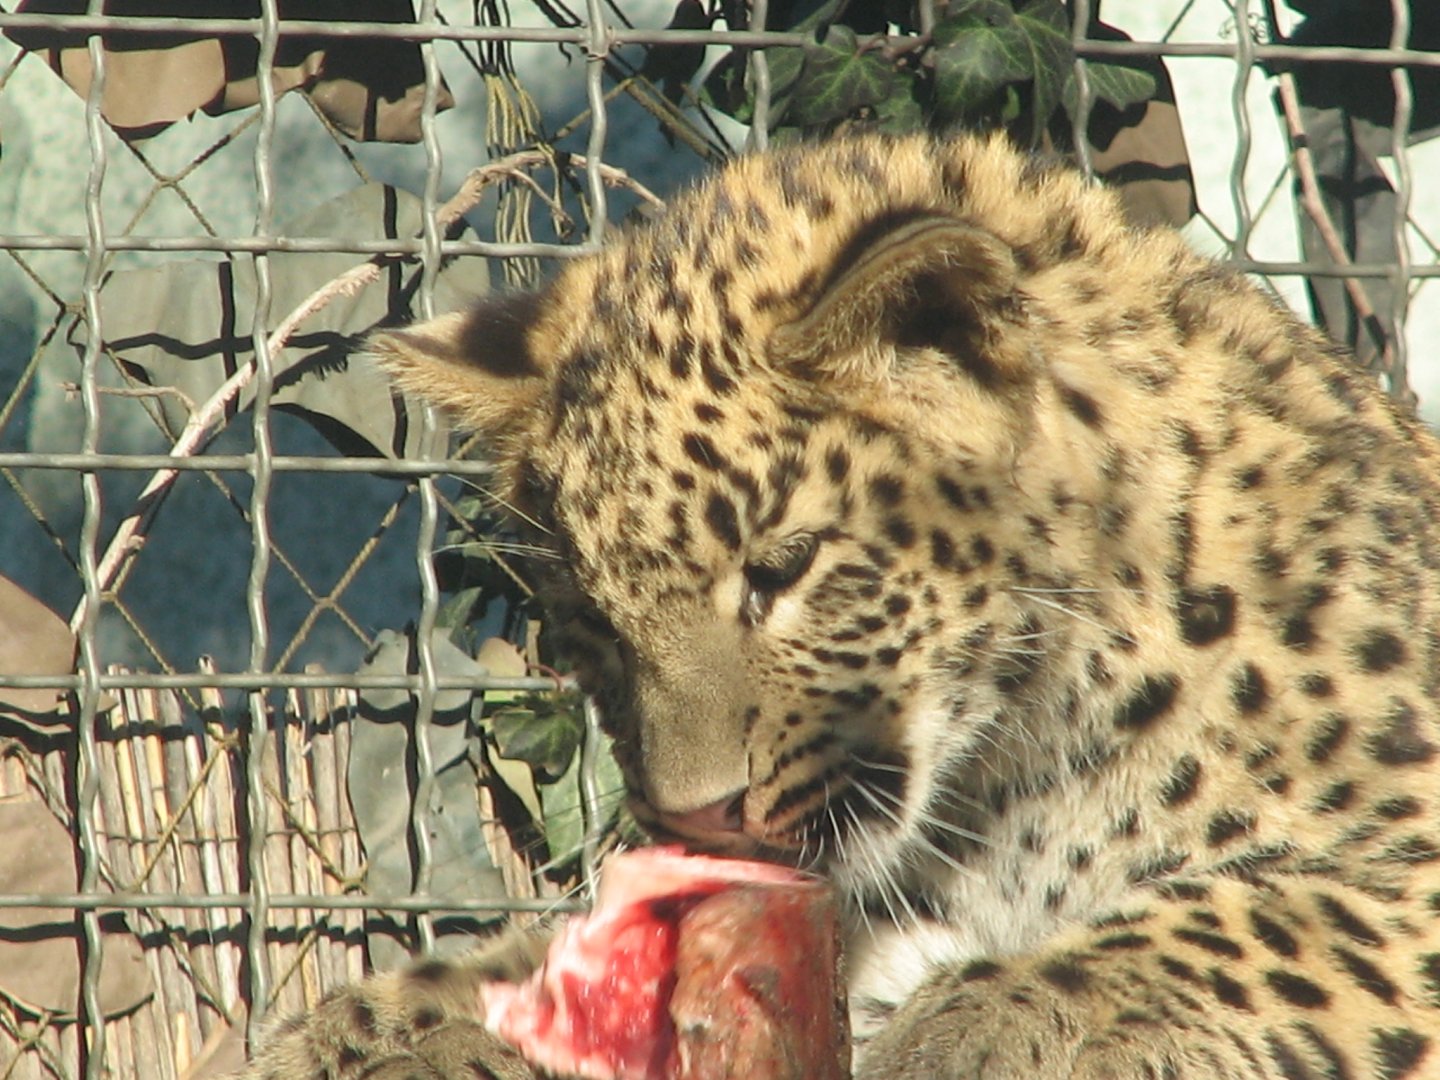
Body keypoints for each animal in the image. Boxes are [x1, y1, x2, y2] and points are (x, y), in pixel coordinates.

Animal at [239, 132, 1440, 1079]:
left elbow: (1249, 918)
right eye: (593, 624)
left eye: (784, 568)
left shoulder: (1403, 857)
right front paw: (382, 1028)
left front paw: (987, 1024)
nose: (697, 818)